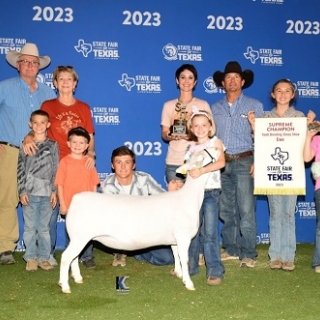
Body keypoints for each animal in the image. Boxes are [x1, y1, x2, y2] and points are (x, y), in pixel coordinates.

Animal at [58, 147, 220, 292]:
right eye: (202, 157)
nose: (218, 148)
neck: (188, 198)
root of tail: (76, 199)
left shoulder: (175, 239)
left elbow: (176, 255)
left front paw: (179, 274)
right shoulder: (183, 236)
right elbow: (184, 259)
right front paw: (189, 284)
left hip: (78, 238)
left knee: (74, 258)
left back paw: (78, 278)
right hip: (80, 236)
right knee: (66, 257)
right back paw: (65, 286)